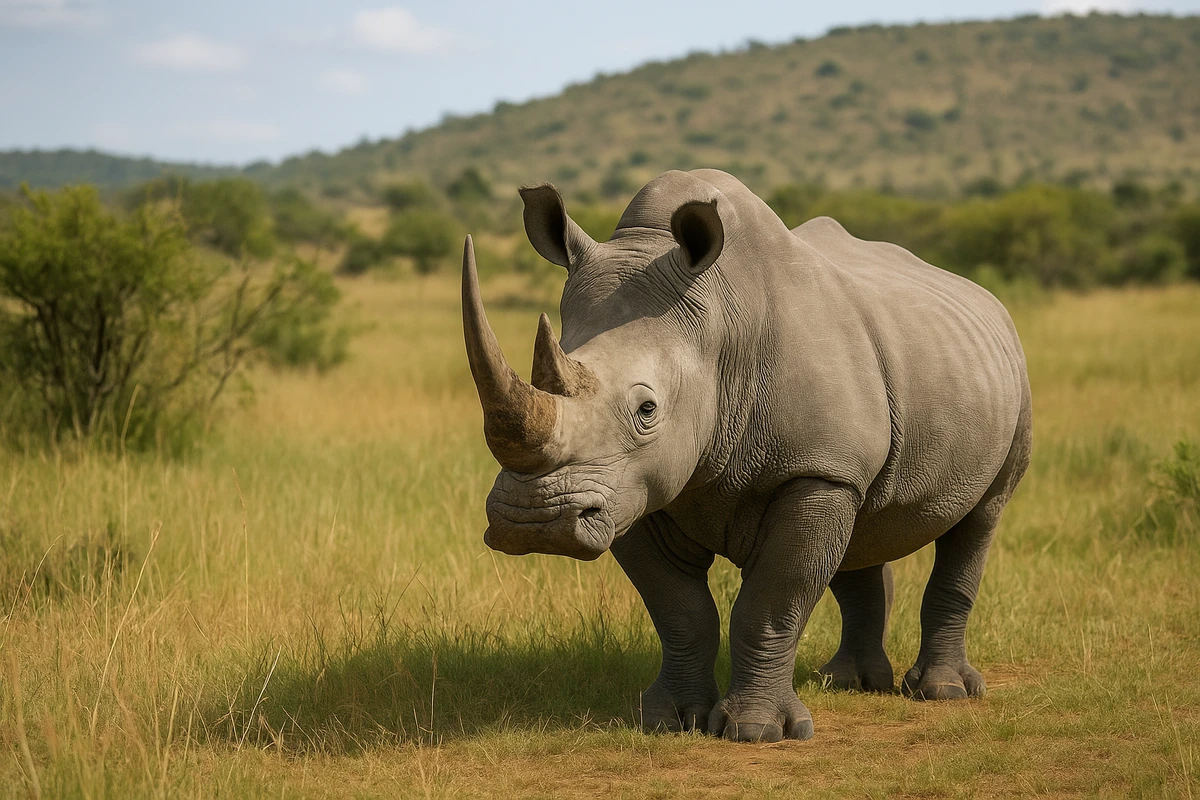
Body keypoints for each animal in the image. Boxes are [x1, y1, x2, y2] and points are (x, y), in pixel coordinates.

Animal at [461, 169, 1031, 743]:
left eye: (646, 409)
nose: (534, 521)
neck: (718, 328)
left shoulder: (812, 470)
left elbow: (773, 601)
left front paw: (756, 731)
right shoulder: (633, 488)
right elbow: (679, 610)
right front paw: (668, 720)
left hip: (1010, 377)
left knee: (980, 519)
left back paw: (944, 692)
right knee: (860, 529)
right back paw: (849, 682)